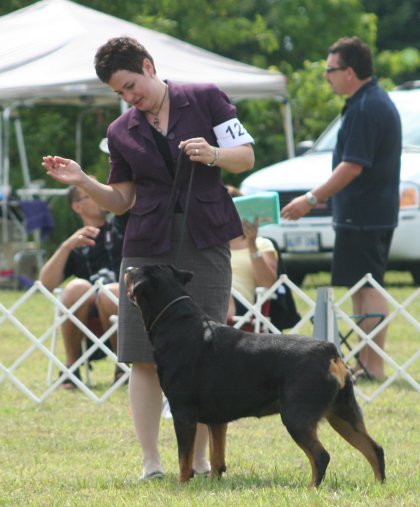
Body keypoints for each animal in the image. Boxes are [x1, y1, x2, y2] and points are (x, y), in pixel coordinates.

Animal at [124, 264, 385, 487]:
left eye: (135, 273)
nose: (127, 268)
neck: (178, 325)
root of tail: (329, 352)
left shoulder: (182, 412)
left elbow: (184, 459)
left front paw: (182, 485)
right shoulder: (216, 418)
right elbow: (217, 455)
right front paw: (213, 482)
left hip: (297, 416)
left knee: (321, 456)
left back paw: (312, 488)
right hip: (343, 413)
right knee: (374, 448)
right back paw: (379, 486)